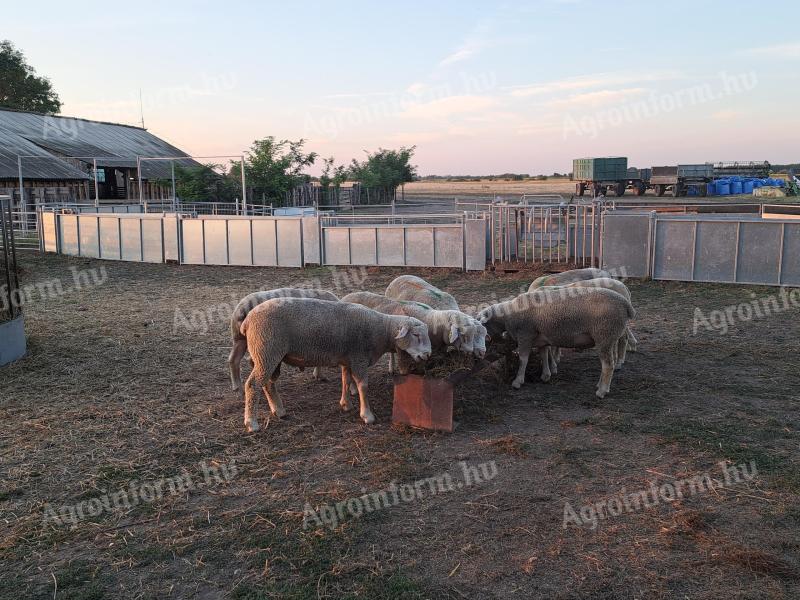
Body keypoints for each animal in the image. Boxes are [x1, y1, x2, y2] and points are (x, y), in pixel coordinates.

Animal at [241, 298, 432, 432]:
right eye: (416, 335)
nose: (428, 354)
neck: (381, 330)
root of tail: (247, 320)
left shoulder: (348, 360)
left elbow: (346, 381)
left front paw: (345, 404)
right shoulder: (359, 357)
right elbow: (363, 386)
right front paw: (367, 415)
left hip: (271, 356)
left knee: (268, 383)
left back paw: (278, 410)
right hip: (266, 351)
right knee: (252, 385)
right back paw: (252, 422)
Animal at [478, 288, 636, 398]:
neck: (508, 315)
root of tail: (626, 304)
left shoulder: (525, 335)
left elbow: (523, 360)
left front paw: (518, 381)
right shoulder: (540, 338)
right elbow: (544, 355)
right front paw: (546, 375)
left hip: (604, 335)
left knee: (608, 365)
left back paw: (602, 392)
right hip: (610, 337)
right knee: (609, 363)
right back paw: (600, 386)